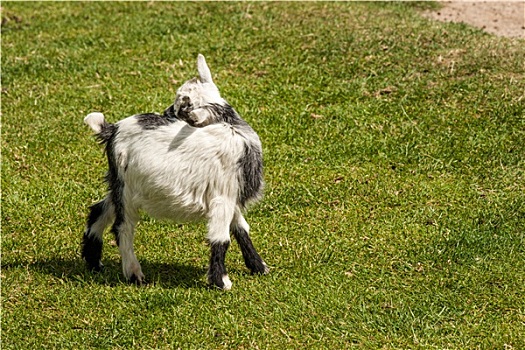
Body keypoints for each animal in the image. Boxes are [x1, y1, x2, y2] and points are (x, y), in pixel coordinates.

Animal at [82, 54, 270, 290]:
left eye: (181, 104)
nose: (166, 113)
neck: (235, 131)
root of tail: (112, 129)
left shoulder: (231, 196)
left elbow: (241, 229)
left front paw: (259, 267)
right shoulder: (222, 197)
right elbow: (221, 238)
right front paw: (221, 282)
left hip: (119, 184)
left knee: (100, 209)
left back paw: (93, 261)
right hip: (127, 191)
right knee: (122, 227)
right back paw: (134, 274)